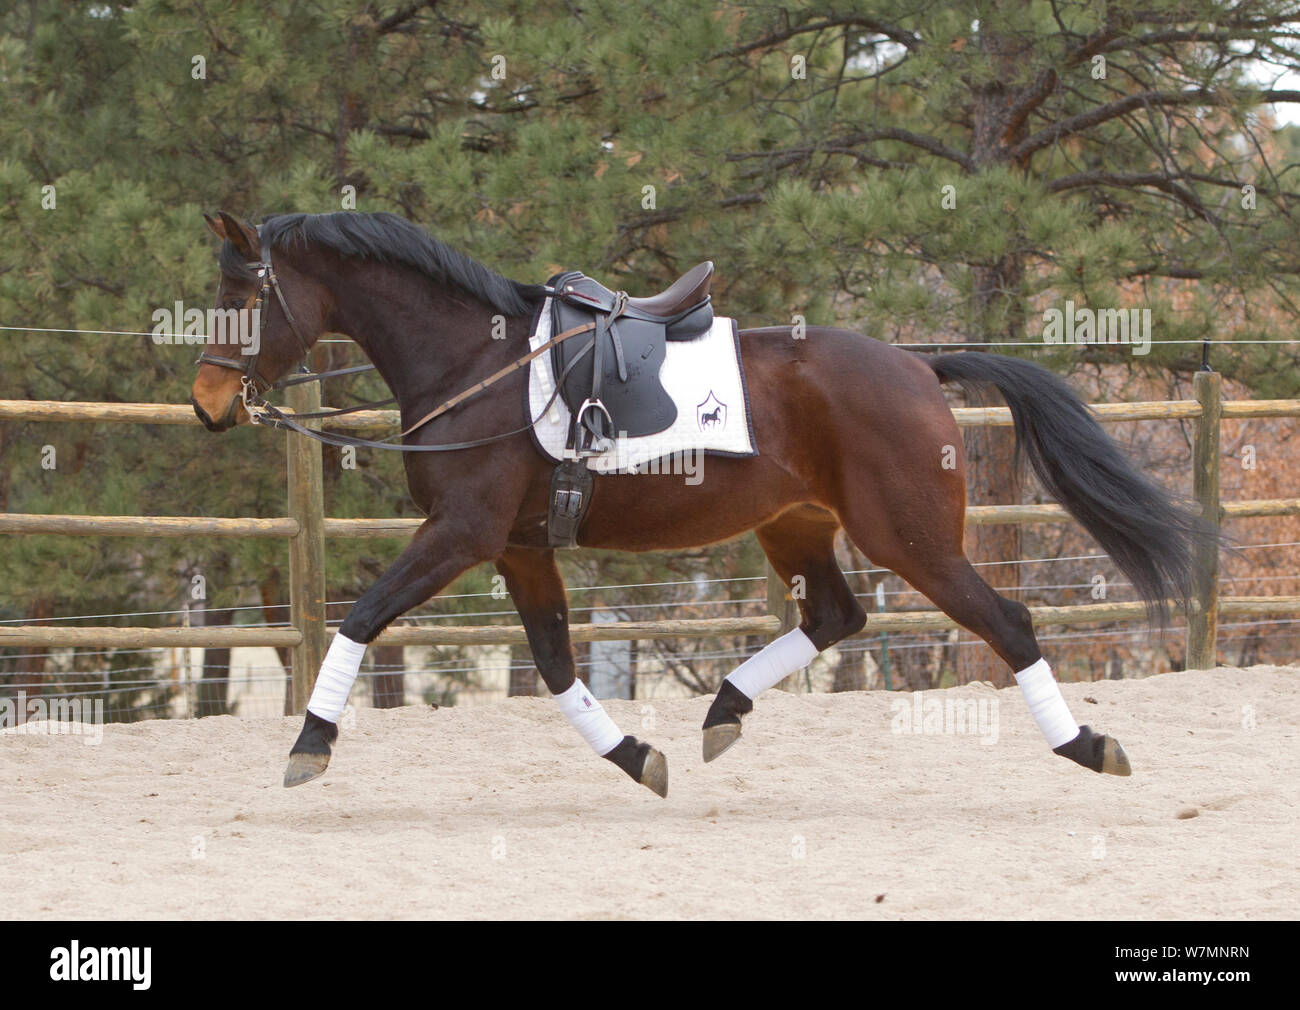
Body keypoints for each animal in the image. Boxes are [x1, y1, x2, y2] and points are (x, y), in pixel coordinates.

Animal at [188, 213, 1201, 795]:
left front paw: (311, 743)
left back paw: (1087, 746)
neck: (477, 365)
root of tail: (919, 366)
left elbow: (360, 617)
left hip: (909, 538)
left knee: (1009, 621)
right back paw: (723, 711)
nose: (206, 400)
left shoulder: (462, 534)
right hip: (796, 529)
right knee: (835, 617)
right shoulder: (519, 545)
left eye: (243, 291)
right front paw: (636, 758)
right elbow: (554, 664)